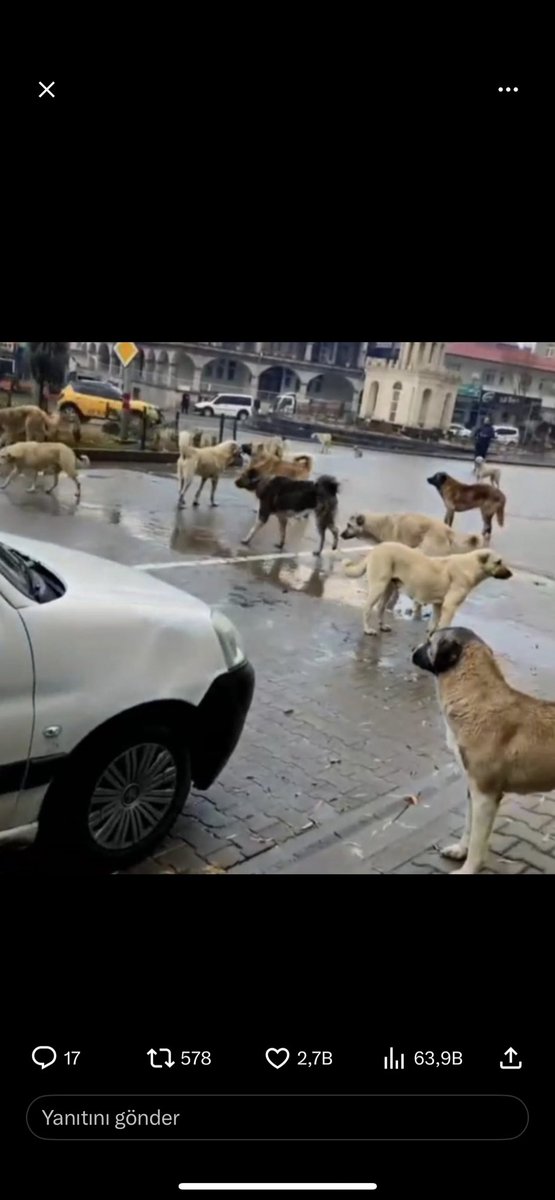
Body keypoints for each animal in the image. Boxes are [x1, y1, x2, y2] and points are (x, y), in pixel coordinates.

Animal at [345, 544, 511, 638]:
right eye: (498, 562)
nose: (510, 574)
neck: (471, 566)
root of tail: (376, 548)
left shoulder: (438, 605)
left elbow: (433, 624)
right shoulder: (449, 607)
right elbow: (444, 625)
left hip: (388, 587)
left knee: (380, 607)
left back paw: (382, 626)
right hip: (379, 586)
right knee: (367, 608)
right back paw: (368, 629)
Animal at [410, 628, 555, 873]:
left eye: (430, 641)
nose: (412, 649)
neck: (473, 698)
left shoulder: (485, 796)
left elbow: (478, 842)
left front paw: (468, 868)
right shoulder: (473, 790)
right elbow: (468, 826)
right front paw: (460, 850)